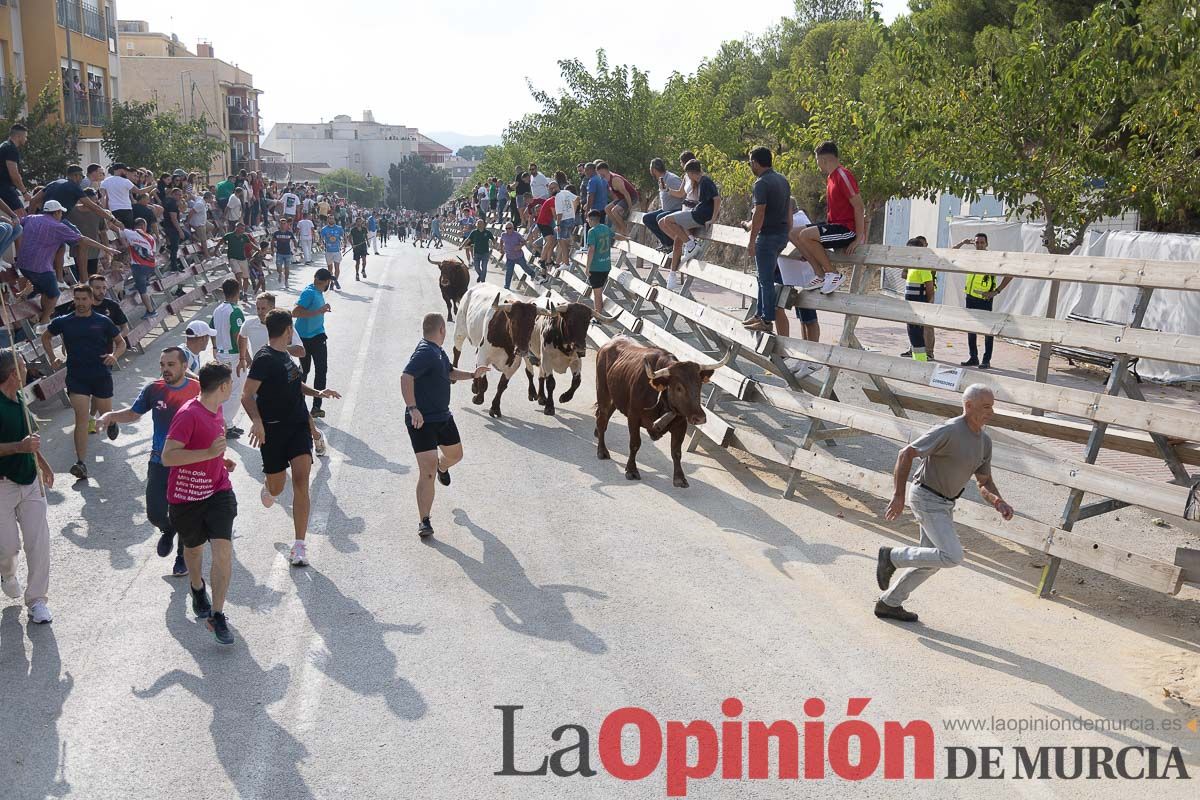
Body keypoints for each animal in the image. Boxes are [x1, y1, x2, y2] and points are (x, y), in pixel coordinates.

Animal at [451, 283, 549, 419]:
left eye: (532, 324)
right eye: (514, 322)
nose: (523, 350)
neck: (506, 343)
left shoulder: (513, 365)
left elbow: (501, 386)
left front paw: (495, 407)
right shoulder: (484, 355)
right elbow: (483, 380)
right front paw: (478, 398)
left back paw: (475, 386)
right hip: (460, 329)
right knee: (457, 350)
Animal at [590, 335, 729, 489]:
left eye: (699, 385)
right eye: (679, 388)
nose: (700, 418)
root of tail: (612, 341)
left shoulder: (680, 424)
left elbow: (676, 451)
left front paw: (680, 478)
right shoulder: (633, 417)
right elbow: (635, 444)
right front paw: (631, 470)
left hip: (616, 396)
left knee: (605, 416)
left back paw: (597, 433)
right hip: (603, 391)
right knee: (602, 418)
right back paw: (602, 451)